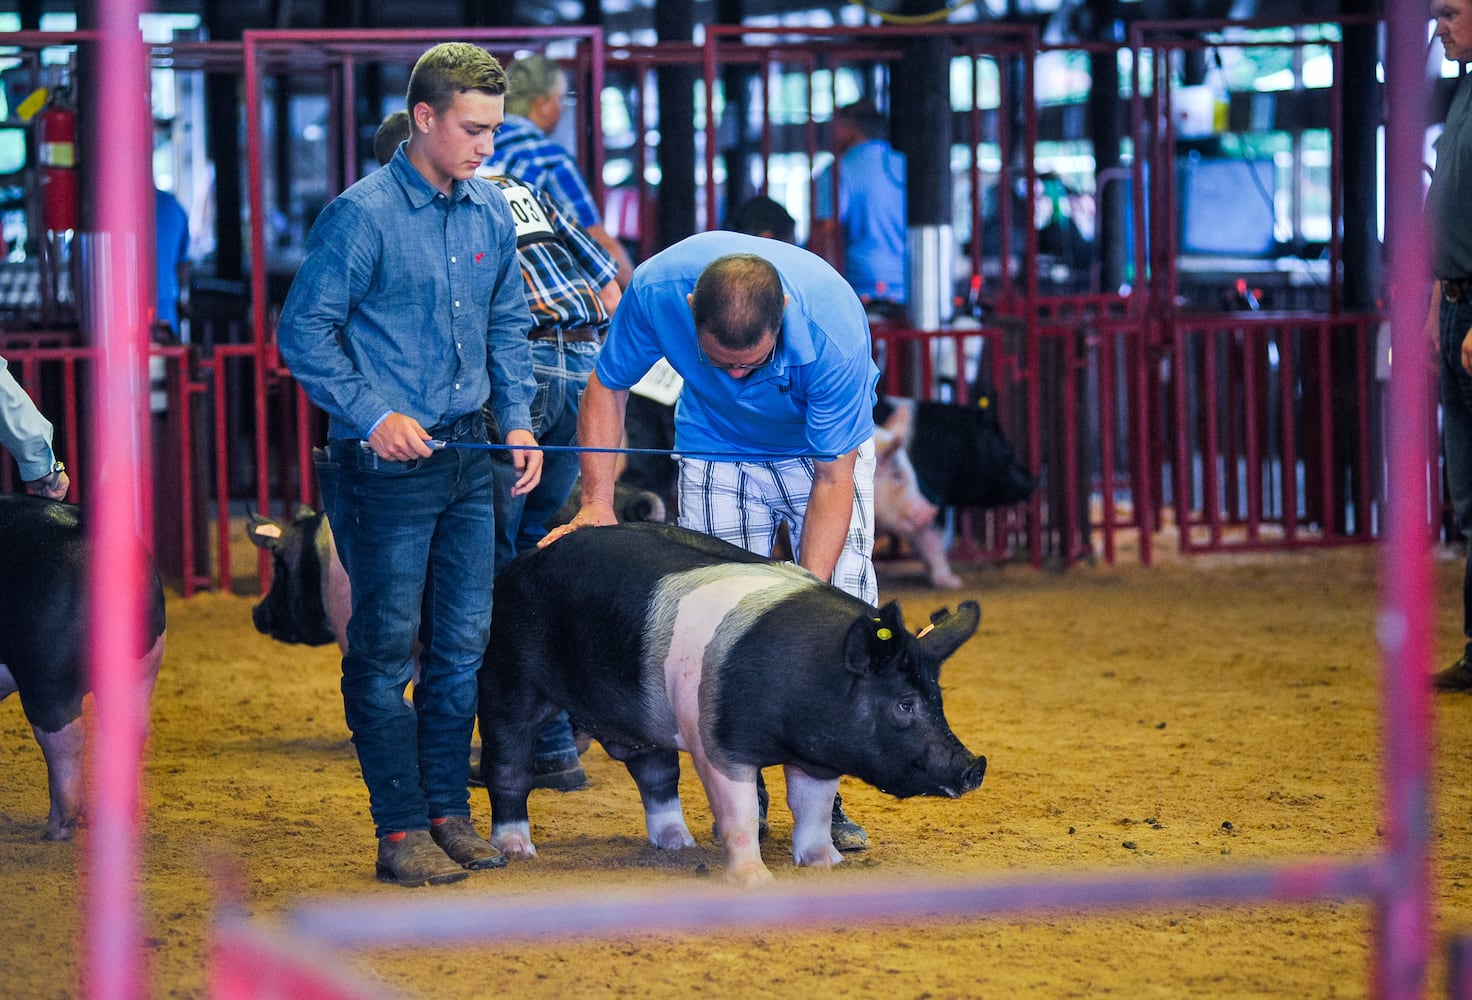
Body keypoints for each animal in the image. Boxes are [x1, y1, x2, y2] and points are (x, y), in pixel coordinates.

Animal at [479, 521, 989, 889]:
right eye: (904, 705)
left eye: (937, 699)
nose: (974, 765)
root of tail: (519, 564)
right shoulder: (718, 741)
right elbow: (740, 813)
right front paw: (756, 881)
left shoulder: (819, 757)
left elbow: (813, 809)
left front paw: (827, 864)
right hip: (507, 676)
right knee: (508, 765)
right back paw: (516, 850)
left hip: (643, 714)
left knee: (656, 773)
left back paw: (679, 845)